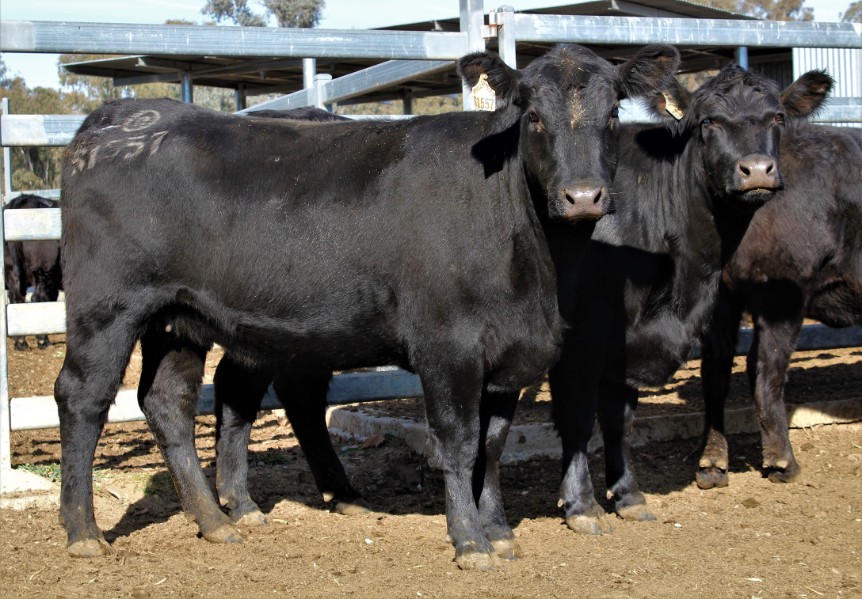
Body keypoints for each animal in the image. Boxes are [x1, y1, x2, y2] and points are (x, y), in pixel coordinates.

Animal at [3, 192, 62, 352]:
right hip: (43, 272)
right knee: (37, 298)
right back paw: (43, 340)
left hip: (12, 271)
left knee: (17, 299)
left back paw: (21, 342)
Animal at [55, 44, 680, 568]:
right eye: (533, 117)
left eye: (614, 116)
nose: (583, 196)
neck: (538, 270)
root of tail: (117, 118)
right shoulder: (448, 346)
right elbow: (458, 442)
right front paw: (470, 541)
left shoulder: (511, 354)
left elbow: (493, 445)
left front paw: (500, 531)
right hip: (107, 305)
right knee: (82, 396)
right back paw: (83, 531)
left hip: (180, 316)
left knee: (169, 402)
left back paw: (214, 520)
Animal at [548, 64, 836, 536]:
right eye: (708, 122)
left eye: (777, 117)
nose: (757, 170)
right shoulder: (584, 339)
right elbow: (578, 418)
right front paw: (581, 505)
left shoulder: (627, 344)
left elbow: (619, 418)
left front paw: (628, 495)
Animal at [704, 123, 862, 492]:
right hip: (783, 294)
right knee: (765, 369)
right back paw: (783, 463)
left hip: (723, 298)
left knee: (716, 368)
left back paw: (712, 466)